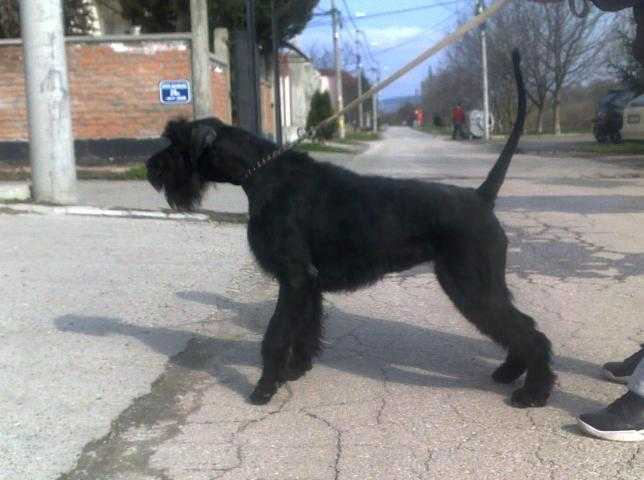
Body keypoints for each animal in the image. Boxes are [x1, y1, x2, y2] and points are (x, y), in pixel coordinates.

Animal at [146, 50, 552, 406]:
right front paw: (296, 370)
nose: (150, 166)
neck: (261, 174)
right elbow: (306, 328)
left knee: (529, 332)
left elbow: (275, 336)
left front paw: (264, 389)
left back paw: (532, 393)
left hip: (472, 285)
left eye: (177, 142)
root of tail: (481, 196)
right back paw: (511, 372)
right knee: (522, 327)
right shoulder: (306, 284)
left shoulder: (294, 277)